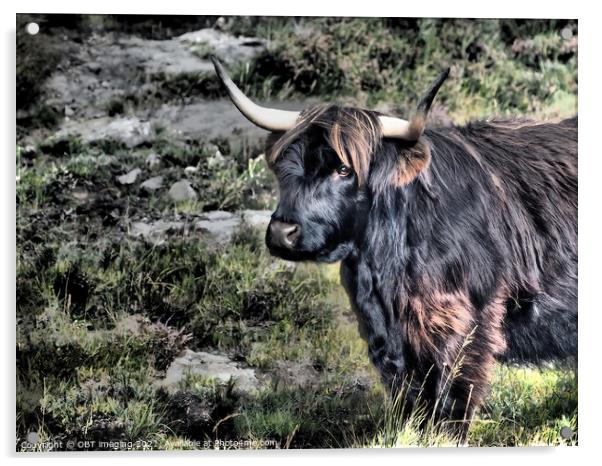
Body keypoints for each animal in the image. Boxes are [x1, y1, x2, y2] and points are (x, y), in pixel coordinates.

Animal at [211, 57, 576, 434]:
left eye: (344, 169)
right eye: (285, 165)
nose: (282, 232)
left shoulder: (466, 316)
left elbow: (456, 384)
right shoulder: (382, 327)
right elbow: (408, 389)